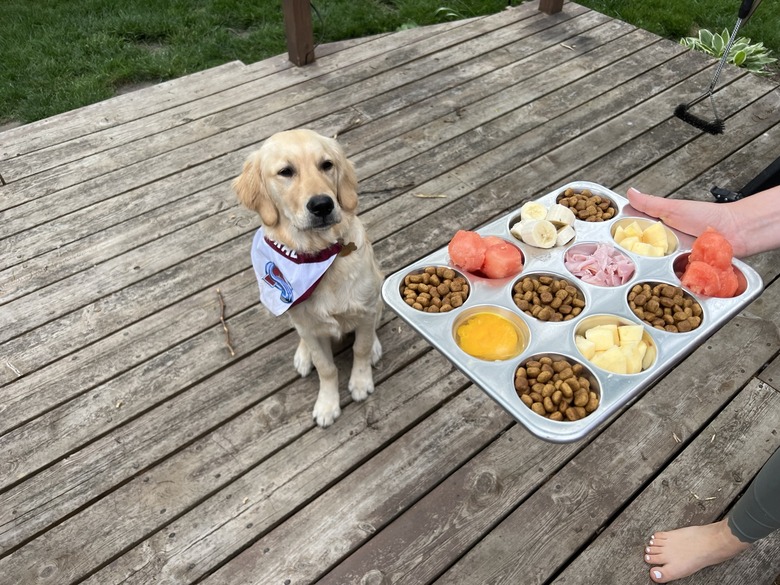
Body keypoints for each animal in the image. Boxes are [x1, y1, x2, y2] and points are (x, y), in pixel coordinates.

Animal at [235, 130, 384, 426]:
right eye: (285, 171)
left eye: (327, 165)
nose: (322, 205)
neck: (318, 253)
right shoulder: (308, 323)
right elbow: (326, 367)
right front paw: (327, 404)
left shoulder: (364, 310)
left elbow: (360, 348)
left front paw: (361, 382)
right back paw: (303, 356)